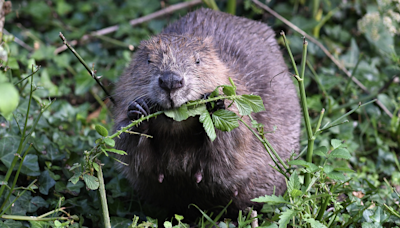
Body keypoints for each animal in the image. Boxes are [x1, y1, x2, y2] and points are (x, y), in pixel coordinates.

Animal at [112, 8, 300, 220]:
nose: (171, 81)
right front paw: (138, 111)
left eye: (198, 60)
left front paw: (215, 103)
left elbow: (231, 150)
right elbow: (134, 157)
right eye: (148, 60)